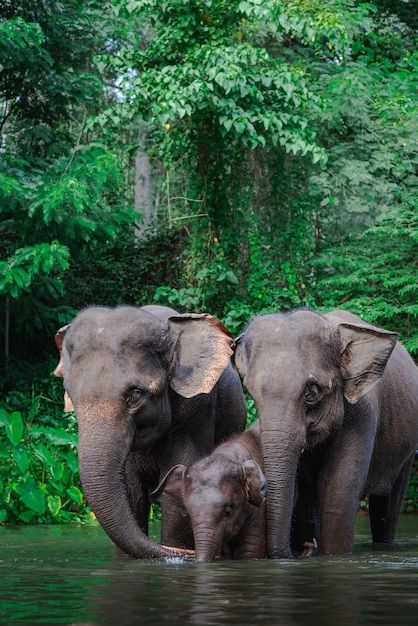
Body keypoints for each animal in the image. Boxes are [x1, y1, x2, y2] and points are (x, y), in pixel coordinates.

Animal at [233, 308, 418, 556]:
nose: (306, 547)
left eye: (312, 391)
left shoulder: (362, 415)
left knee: (387, 507)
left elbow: (337, 488)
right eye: (250, 391)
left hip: (406, 449)